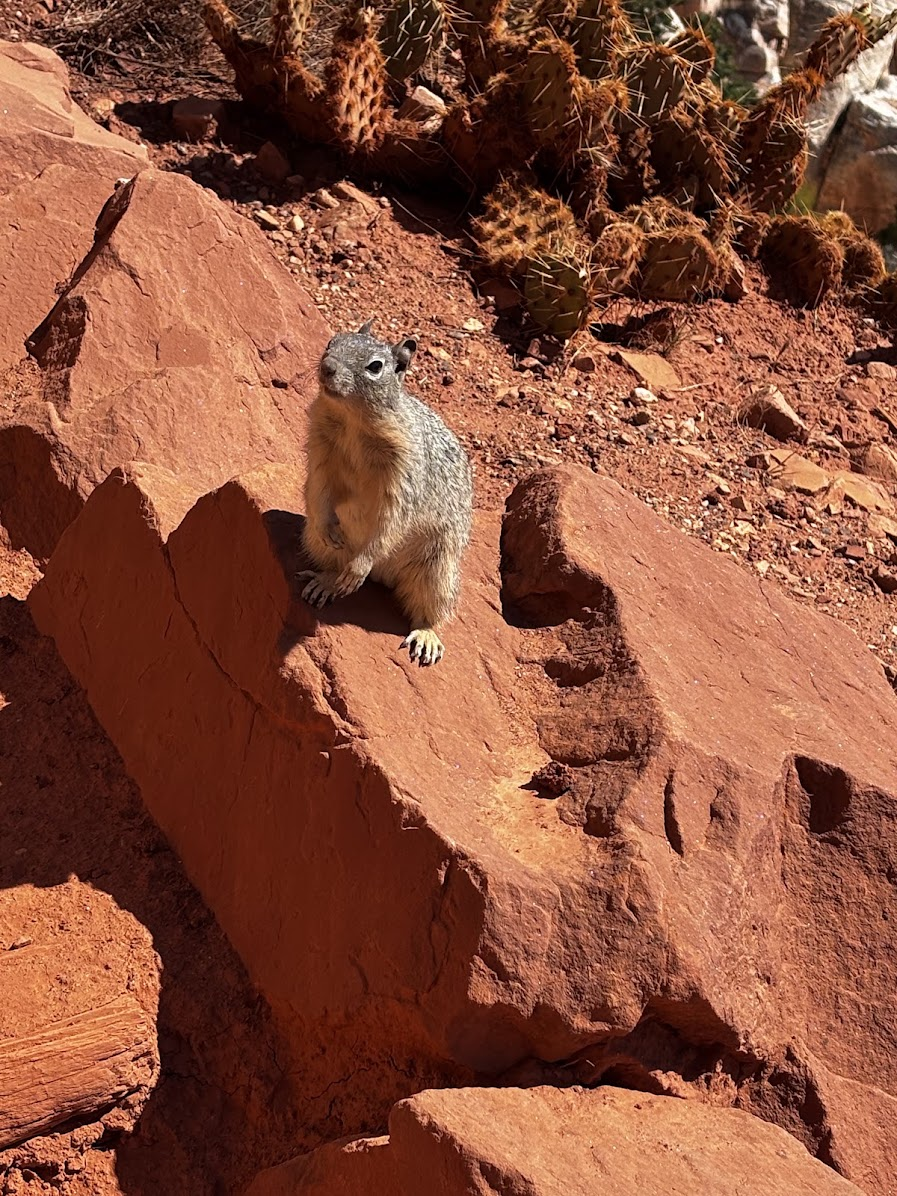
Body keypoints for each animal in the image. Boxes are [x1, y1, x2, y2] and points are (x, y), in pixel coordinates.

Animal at [298, 319, 473, 667]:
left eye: (375, 366)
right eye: (332, 341)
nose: (327, 367)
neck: (353, 420)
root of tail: (383, 576)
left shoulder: (404, 475)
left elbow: (392, 521)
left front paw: (359, 566)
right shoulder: (320, 446)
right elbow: (319, 487)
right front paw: (327, 526)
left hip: (439, 570)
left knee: (430, 610)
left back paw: (426, 636)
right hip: (314, 540)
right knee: (332, 558)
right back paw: (327, 582)